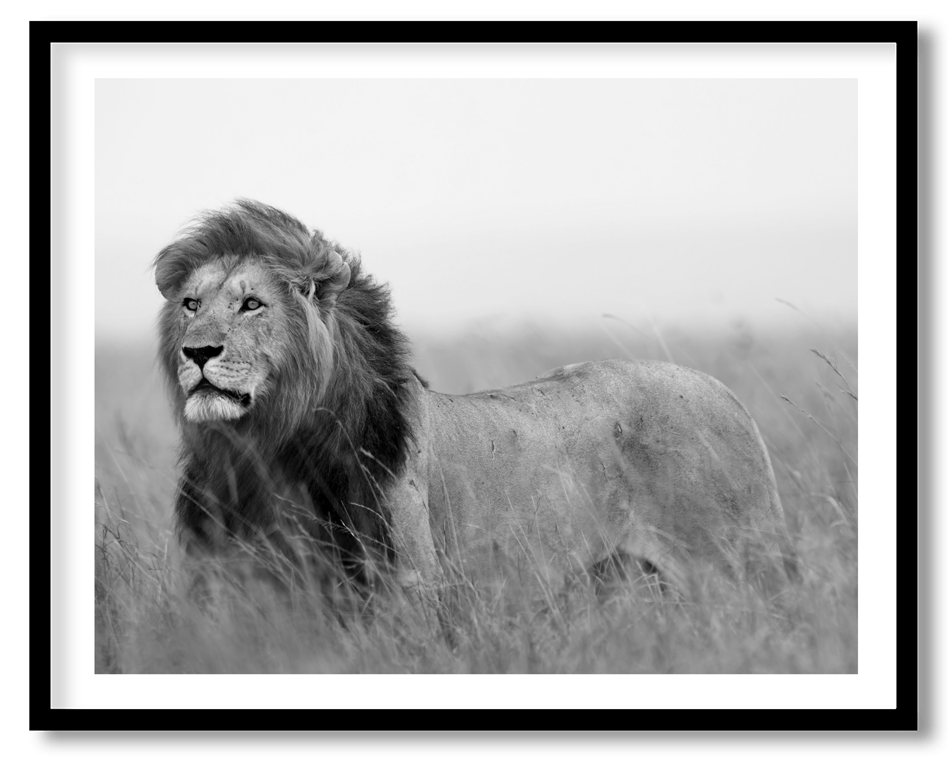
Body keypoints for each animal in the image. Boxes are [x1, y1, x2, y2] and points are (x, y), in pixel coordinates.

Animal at [155, 199, 795, 608]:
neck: (264, 450)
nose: (198, 351)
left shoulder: (408, 589)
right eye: (191, 304)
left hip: (738, 567)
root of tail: (726, 393)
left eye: (252, 305)